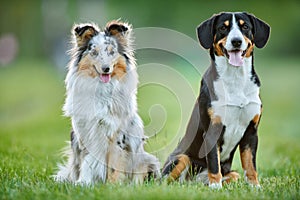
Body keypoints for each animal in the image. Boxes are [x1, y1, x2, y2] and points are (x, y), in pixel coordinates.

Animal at [54, 20, 161, 184]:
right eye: (94, 52)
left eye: (111, 52)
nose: (106, 68)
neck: (101, 92)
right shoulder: (85, 133)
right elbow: (86, 162)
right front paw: (83, 183)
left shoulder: (117, 136)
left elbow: (114, 167)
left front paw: (112, 185)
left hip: (147, 159)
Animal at [163, 11, 270, 188]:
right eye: (222, 28)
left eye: (245, 27)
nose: (236, 41)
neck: (235, 79)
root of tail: (195, 181)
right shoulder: (212, 129)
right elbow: (214, 162)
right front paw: (215, 187)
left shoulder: (251, 131)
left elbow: (250, 165)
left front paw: (255, 187)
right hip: (181, 158)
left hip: (233, 174)